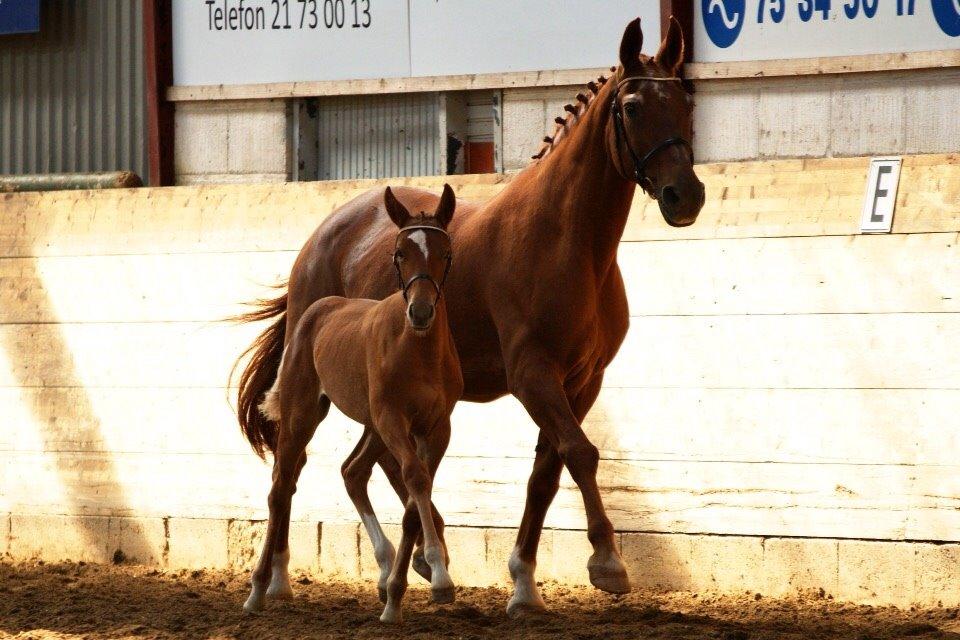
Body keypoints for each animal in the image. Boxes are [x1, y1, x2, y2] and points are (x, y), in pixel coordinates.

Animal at [242, 182, 464, 624]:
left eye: (445, 253)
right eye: (400, 252)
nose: (421, 311)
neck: (420, 350)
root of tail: (318, 308)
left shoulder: (437, 427)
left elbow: (416, 495)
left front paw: (402, 593)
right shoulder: (393, 419)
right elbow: (414, 479)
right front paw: (436, 575)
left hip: (371, 427)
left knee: (350, 471)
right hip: (304, 414)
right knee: (281, 485)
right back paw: (260, 588)